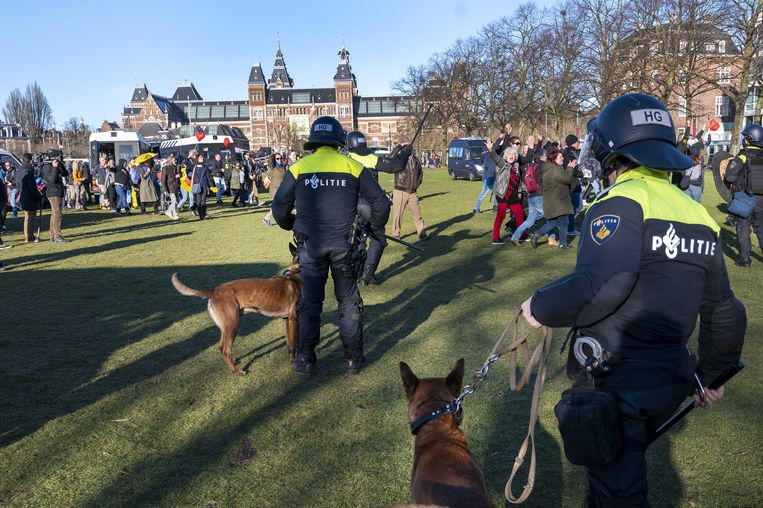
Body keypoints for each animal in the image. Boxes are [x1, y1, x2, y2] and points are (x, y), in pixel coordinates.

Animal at [172, 244, 302, 376]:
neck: (295, 275)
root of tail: (214, 291)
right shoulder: (293, 320)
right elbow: (293, 345)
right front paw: (293, 362)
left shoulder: (286, 320)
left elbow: (289, 343)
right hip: (233, 326)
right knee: (226, 350)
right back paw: (236, 371)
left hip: (226, 328)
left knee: (221, 348)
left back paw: (232, 364)